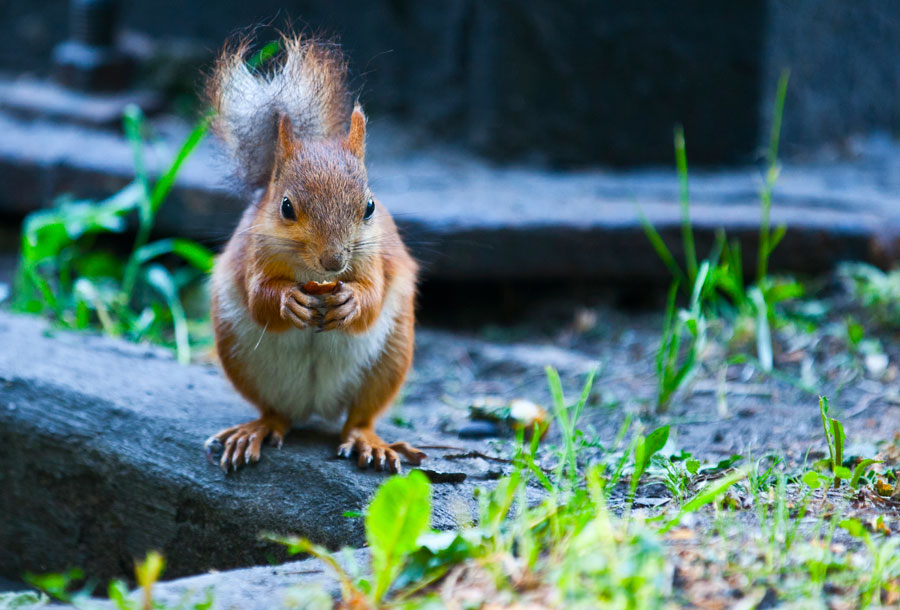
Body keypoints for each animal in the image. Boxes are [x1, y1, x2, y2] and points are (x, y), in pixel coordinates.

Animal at [204, 35, 426, 472]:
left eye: (369, 207)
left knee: (359, 418)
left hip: (391, 357)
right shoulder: (255, 255)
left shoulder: (373, 260)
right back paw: (256, 430)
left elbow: (371, 297)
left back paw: (368, 441)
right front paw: (288, 301)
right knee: (276, 413)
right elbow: (259, 299)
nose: (333, 263)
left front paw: (351, 301)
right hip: (241, 357)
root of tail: (315, 405)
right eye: (286, 207)